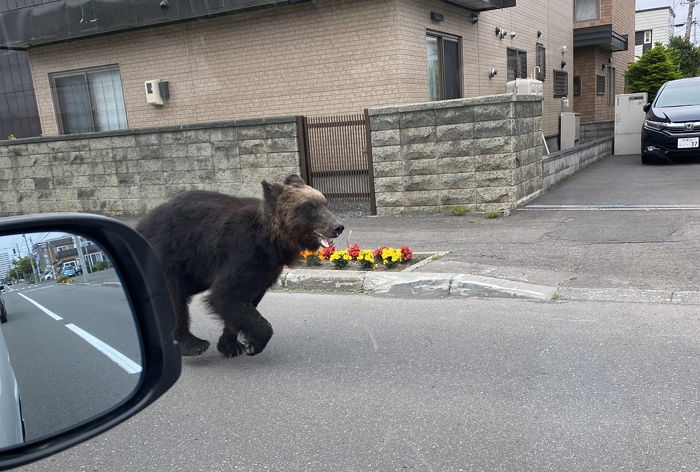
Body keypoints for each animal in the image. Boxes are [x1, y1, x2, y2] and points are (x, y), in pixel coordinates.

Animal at [135, 175, 344, 356]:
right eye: (310, 207)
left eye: (324, 202)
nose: (338, 226)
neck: (271, 242)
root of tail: (141, 224)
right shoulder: (242, 253)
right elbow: (225, 294)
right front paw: (254, 343)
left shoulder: (265, 269)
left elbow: (241, 301)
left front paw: (231, 344)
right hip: (168, 253)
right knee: (174, 298)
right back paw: (192, 344)